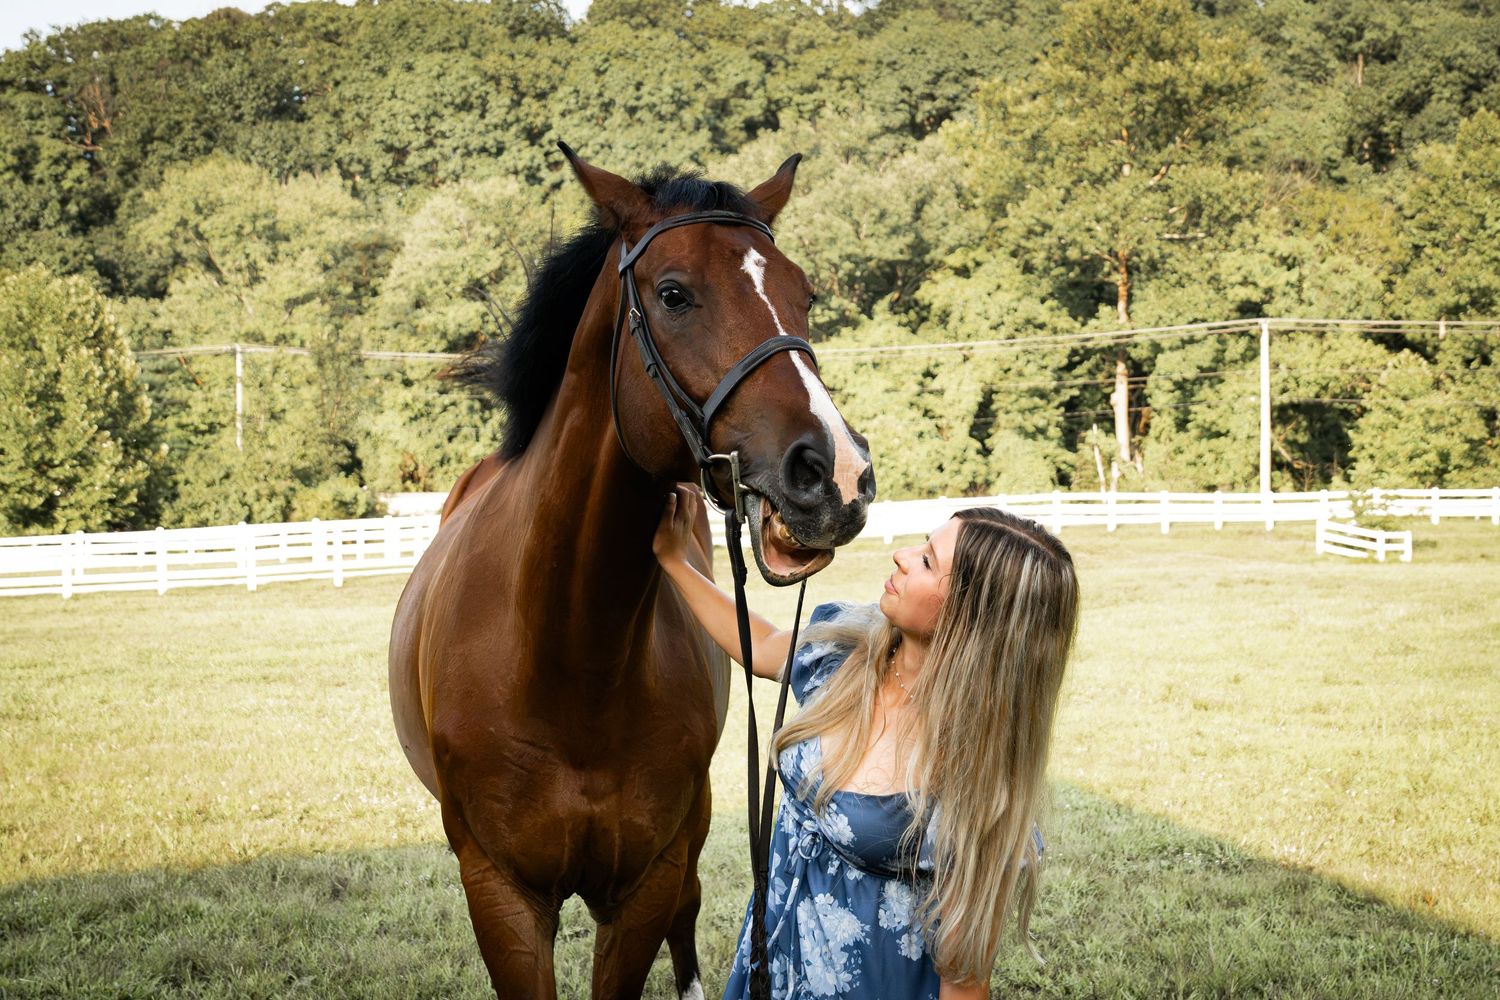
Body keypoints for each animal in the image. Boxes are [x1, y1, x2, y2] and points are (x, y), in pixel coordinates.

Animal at [388, 145, 877, 999]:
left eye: (803, 293)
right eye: (674, 294)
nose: (837, 474)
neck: (571, 660)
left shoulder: (645, 883)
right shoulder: (501, 895)